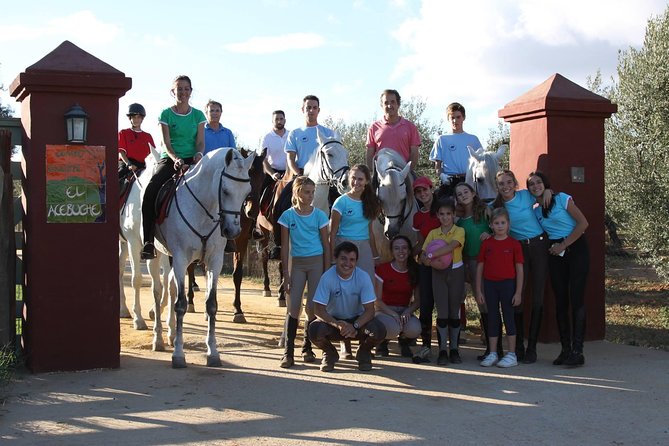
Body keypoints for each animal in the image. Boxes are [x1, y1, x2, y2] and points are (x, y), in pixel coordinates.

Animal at [120, 146, 172, 332]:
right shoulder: (134, 243)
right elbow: (136, 279)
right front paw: (139, 319)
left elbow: (165, 279)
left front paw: (157, 311)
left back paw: (124, 309)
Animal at [153, 148, 254, 368]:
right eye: (225, 190)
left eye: (247, 192)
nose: (233, 231)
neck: (202, 209)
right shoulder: (181, 258)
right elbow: (181, 305)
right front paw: (178, 354)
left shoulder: (215, 261)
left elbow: (211, 305)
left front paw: (213, 352)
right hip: (149, 252)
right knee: (155, 290)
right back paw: (157, 337)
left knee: (170, 287)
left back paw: (170, 333)